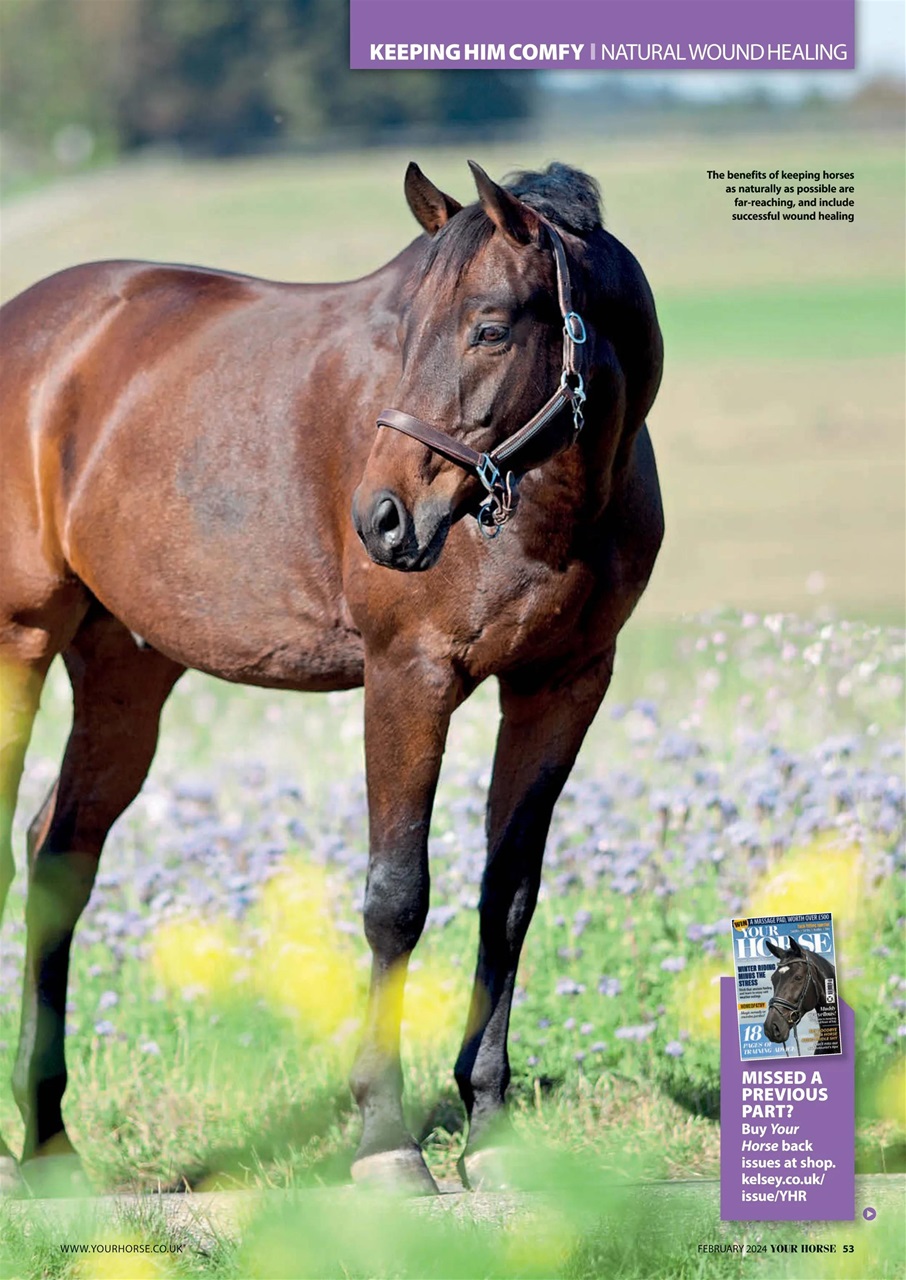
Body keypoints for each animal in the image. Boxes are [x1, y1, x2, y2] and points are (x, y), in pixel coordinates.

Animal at [0, 159, 663, 1195]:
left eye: (489, 327)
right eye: (406, 328)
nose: (383, 518)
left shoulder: (563, 686)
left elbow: (508, 899)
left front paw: (493, 1134)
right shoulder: (408, 677)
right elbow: (397, 899)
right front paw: (387, 1142)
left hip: (125, 673)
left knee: (60, 852)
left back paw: (49, 1144)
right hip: (20, 639)